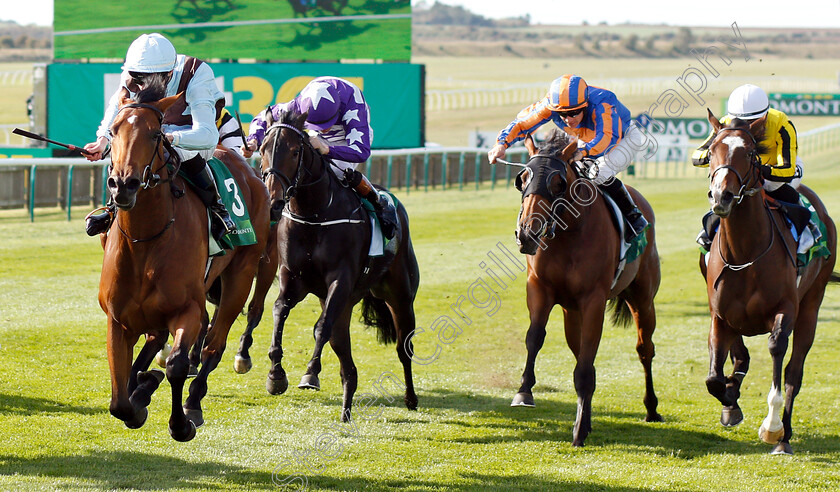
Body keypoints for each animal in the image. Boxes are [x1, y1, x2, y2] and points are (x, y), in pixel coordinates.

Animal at [98, 88, 270, 442]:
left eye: (155, 134)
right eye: (113, 131)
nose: (124, 184)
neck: (146, 241)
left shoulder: (187, 308)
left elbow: (177, 364)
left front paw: (180, 422)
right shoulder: (117, 319)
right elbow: (119, 400)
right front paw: (139, 393)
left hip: (241, 275)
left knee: (213, 345)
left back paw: (193, 400)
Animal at [251, 109, 418, 420]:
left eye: (295, 151)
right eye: (263, 149)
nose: (274, 202)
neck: (314, 214)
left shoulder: (340, 281)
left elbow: (321, 327)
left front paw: (310, 374)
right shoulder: (293, 279)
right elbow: (279, 311)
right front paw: (275, 375)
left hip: (400, 297)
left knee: (404, 348)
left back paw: (410, 398)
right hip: (347, 304)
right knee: (347, 365)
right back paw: (346, 411)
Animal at [508, 130, 660, 446]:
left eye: (558, 183)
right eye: (522, 178)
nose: (527, 232)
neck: (568, 234)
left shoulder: (593, 300)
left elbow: (585, 364)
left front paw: (578, 430)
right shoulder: (539, 288)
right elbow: (535, 337)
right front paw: (524, 392)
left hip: (642, 297)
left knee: (644, 348)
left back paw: (651, 408)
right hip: (571, 311)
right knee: (579, 351)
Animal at [704, 109, 832, 456]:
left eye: (750, 153)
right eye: (711, 150)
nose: (722, 196)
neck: (746, 252)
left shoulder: (785, 309)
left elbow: (777, 351)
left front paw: (772, 428)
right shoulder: (720, 314)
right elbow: (715, 377)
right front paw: (730, 401)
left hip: (811, 306)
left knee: (793, 373)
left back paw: (784, 435)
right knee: (740, 357)